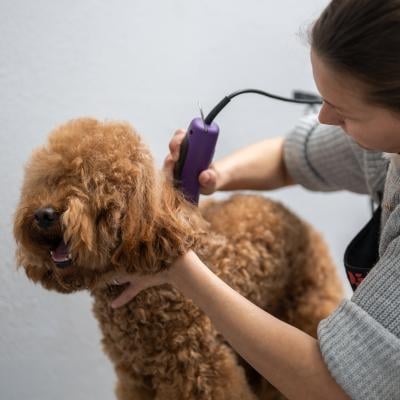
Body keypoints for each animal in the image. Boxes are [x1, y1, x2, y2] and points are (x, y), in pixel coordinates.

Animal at [13, 119, 344, 400]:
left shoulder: (197, 371)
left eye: (90, 184)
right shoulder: (135, 376)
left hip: (305, 307)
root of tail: (300, 222)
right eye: (49, 179)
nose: (43, 214)